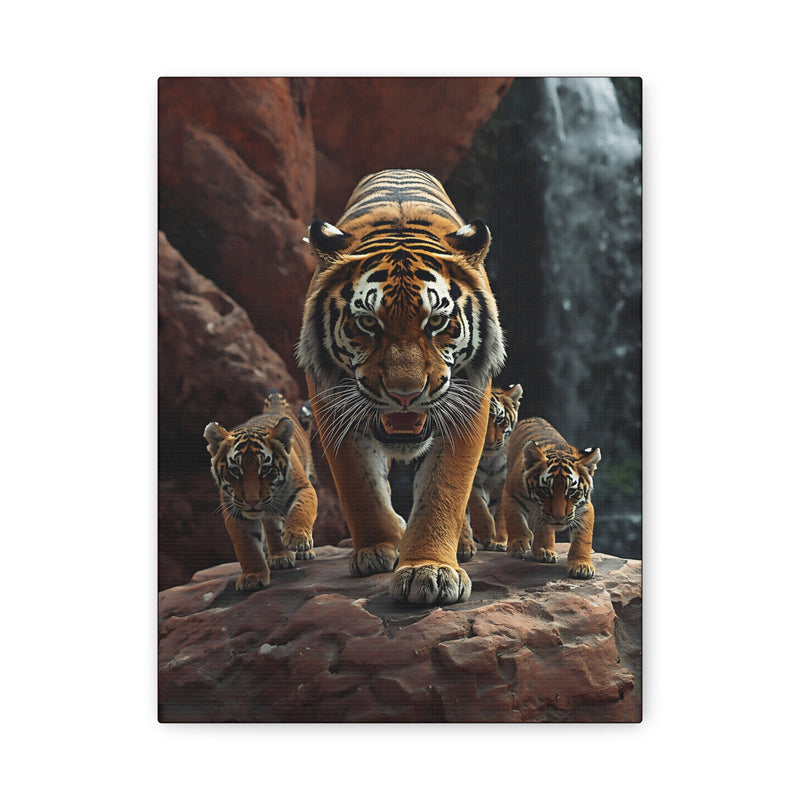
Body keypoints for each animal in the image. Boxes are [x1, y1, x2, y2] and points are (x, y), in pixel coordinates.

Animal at [203, 390, 317, 591]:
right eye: (235, 471)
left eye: (265, 469)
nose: (252, 501)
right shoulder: (235, 511)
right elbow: (247, 546)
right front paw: (252, 577)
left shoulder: (303, 488)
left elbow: (301, 511)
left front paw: (297, 538)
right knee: (272, 527)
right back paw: (280, 556)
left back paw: (302, 551)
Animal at [297, 169, 506, 605]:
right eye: (367, 323)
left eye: (437, 322)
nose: (405, 394)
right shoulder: (331, 404)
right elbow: (359, 486)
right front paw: (377, 548)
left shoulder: (469, 403)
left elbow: (444, 489)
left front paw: (431, 570)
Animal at [458, 383, 523, 558]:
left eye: (499, 420)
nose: (488, 443)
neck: (489, 460)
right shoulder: (472, 480)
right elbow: (478, 503)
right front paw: (485, 532)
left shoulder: (501, 485)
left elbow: (500, 513)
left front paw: (499, 541)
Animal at [497, 416, 601, 578]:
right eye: (545, 490)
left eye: (571, 491)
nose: (558, 517)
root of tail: (532, 417)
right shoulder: (511, 494)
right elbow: (515, 519)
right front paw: (518, 544)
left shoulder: (584, 507)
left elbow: (582, 538)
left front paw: (582, 565)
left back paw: (545, 550)